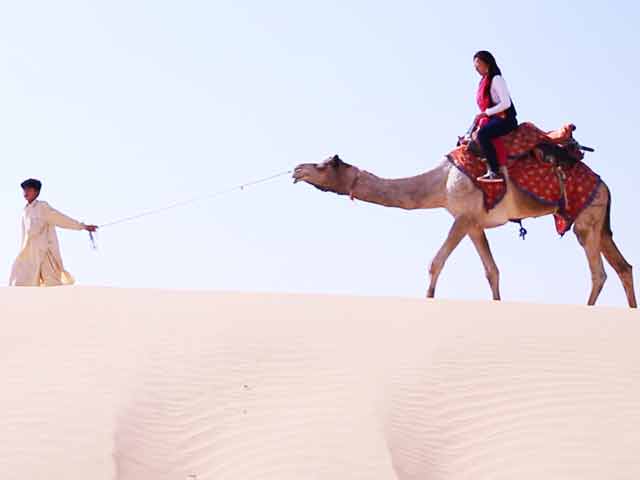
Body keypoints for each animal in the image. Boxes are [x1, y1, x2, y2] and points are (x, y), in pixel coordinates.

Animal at [293, 154, 637, 308]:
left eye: (323, 164)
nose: (297, 169)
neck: (439, 183)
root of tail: (605, 185)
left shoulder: (462, 217)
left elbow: (436, 262)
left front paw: (428, 300)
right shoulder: (474, 224)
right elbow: (492, 271)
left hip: (586, 220)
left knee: (599, 272)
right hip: (599, 225)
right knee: (623, 267)